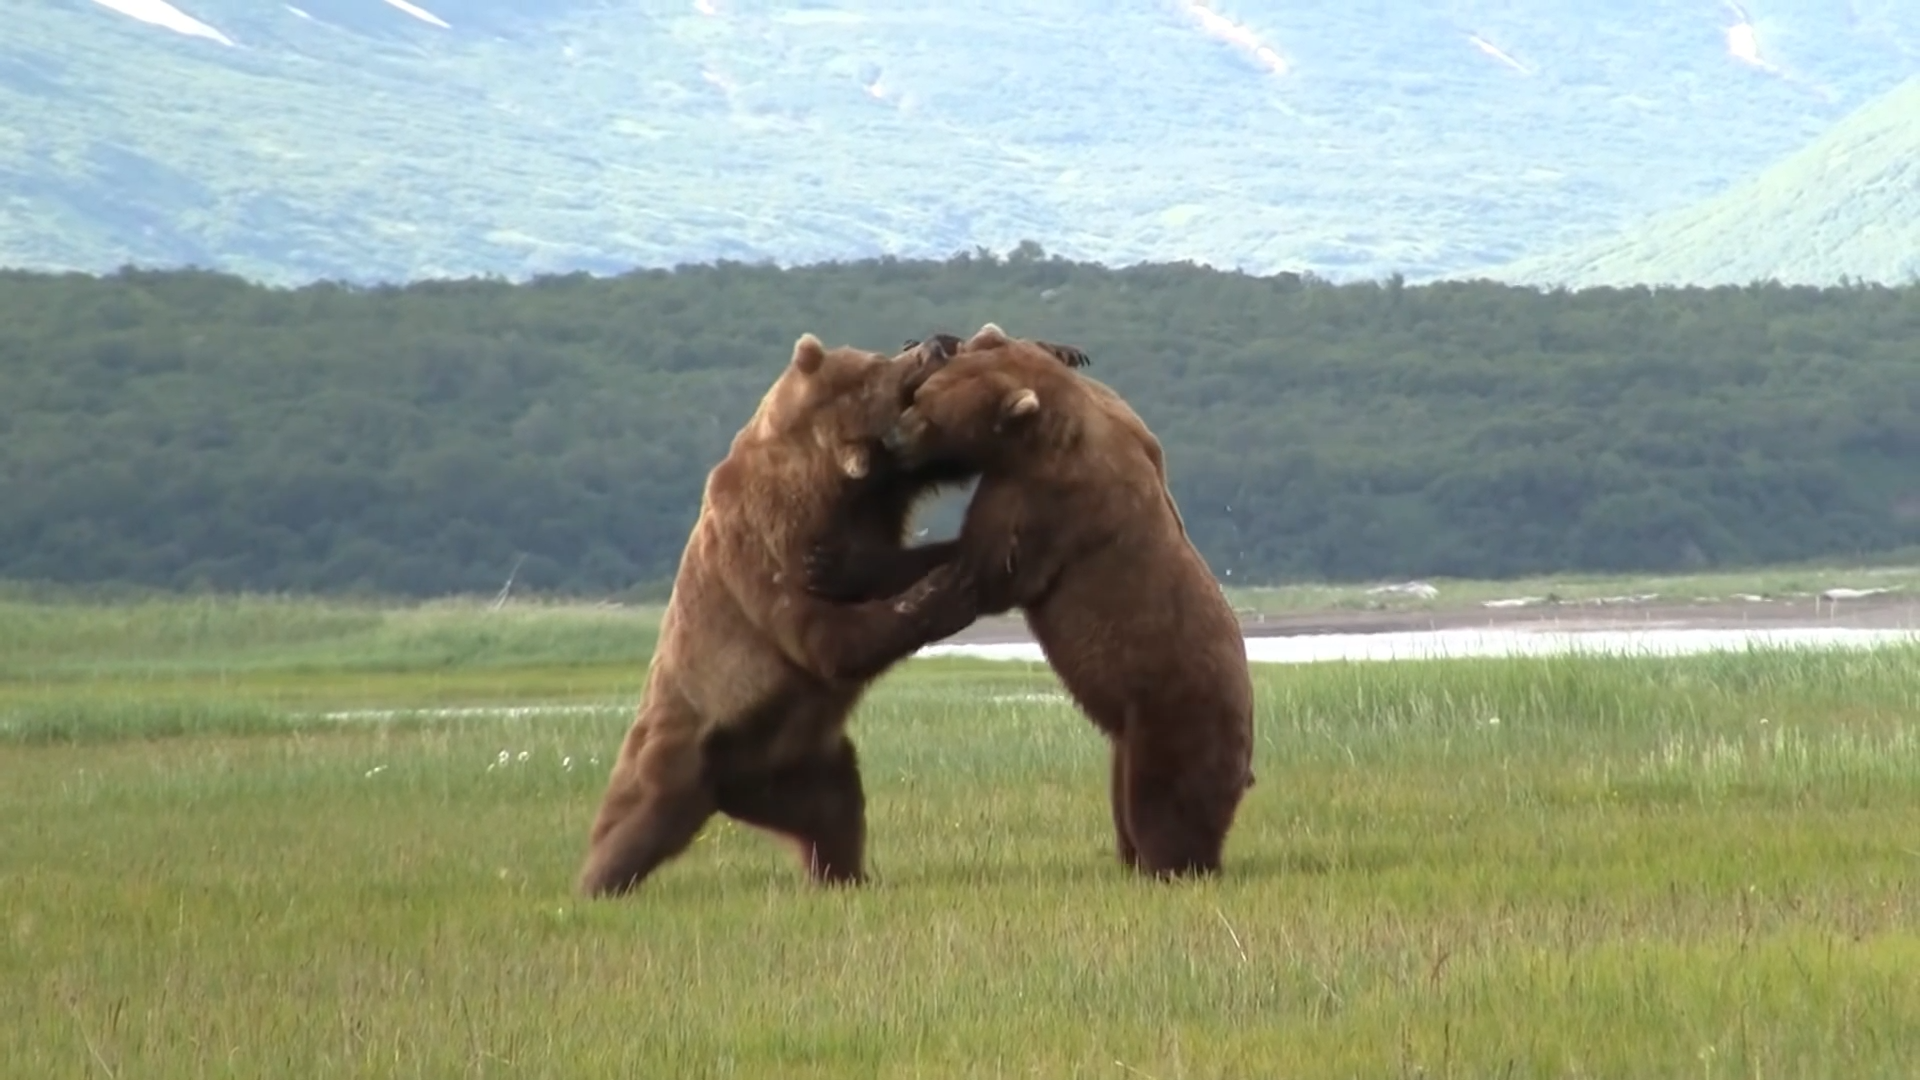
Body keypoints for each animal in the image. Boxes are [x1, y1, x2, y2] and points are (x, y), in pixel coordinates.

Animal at [568, 326, 1090, 891]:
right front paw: (944, 588)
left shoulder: (877, 495)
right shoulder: (768, 542)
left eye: (883, 356)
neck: (825, 483)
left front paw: (1059, 352)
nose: (935, 345)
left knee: (836, 814)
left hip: (809, 767)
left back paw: (845, 875)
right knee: (632, 823)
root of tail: (728, 793)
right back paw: (597, 884)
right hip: (681, 744)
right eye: (884, 377)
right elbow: (829, 637)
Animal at [802, 322, 1251, 880]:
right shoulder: (1110, 428)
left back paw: (1169, 865)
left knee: (1162, 805)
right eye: (920, 396)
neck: (1030, 439)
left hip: (1176, 713)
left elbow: (981, 573)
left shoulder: (1048, 501)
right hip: (1131, 736)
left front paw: (832, 564)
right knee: (1124, 796)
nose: (891, 440)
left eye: (930, 414)